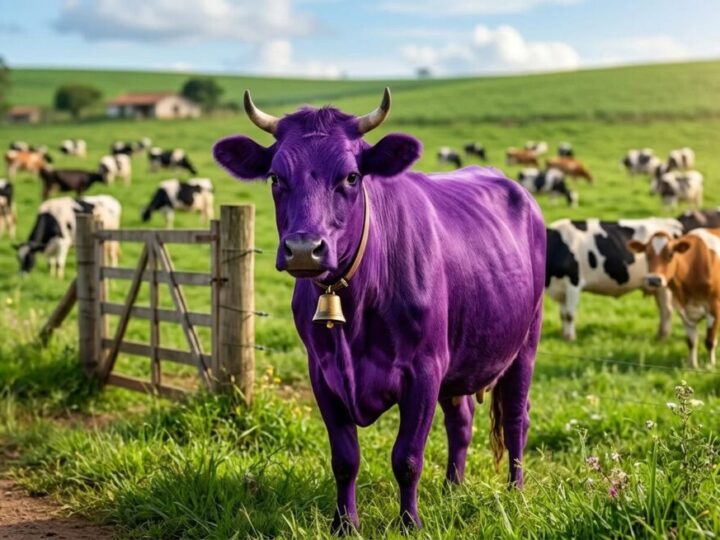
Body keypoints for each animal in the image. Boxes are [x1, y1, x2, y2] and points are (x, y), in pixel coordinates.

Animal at [213, 88, 546, 531]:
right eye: (275, 177)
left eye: (352, 176)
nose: (303, 249)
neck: (355, 310)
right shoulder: (323, 373)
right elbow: (344, 459)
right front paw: (344, 523)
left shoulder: (424, 370)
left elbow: (407, 457)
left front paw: (409, 522)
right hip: (459, 357)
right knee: (461, 420)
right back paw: (452, 488)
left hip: (525, 344)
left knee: (516, 418)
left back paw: (515, 491)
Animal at [546, 217, 683, 341]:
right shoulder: (560, 288)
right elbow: (563, 314)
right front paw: (564, 336)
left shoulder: (573, 283)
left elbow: (569, 314)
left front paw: (570, 338)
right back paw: (660, 335)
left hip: (663, 285)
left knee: (666, 310)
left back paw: (663, 337)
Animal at [629, 228, 720, 368]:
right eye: (647, 255)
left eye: (671, 254)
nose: (654, 280)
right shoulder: (682, 308)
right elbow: (691, 341)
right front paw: (693, 366)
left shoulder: (714, 306)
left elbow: (710, 341)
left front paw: (710, 366)